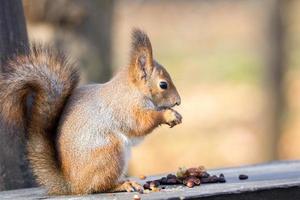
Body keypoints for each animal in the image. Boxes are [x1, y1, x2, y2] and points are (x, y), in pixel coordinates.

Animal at [0, 28, 180, 195]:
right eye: (163, 85)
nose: (178, 101)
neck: (133, 89)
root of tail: (72, 185)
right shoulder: (126, 108)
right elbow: (141, 123)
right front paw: (168, 115)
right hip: (109, 152)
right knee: (98, 186)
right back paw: (123, 184)